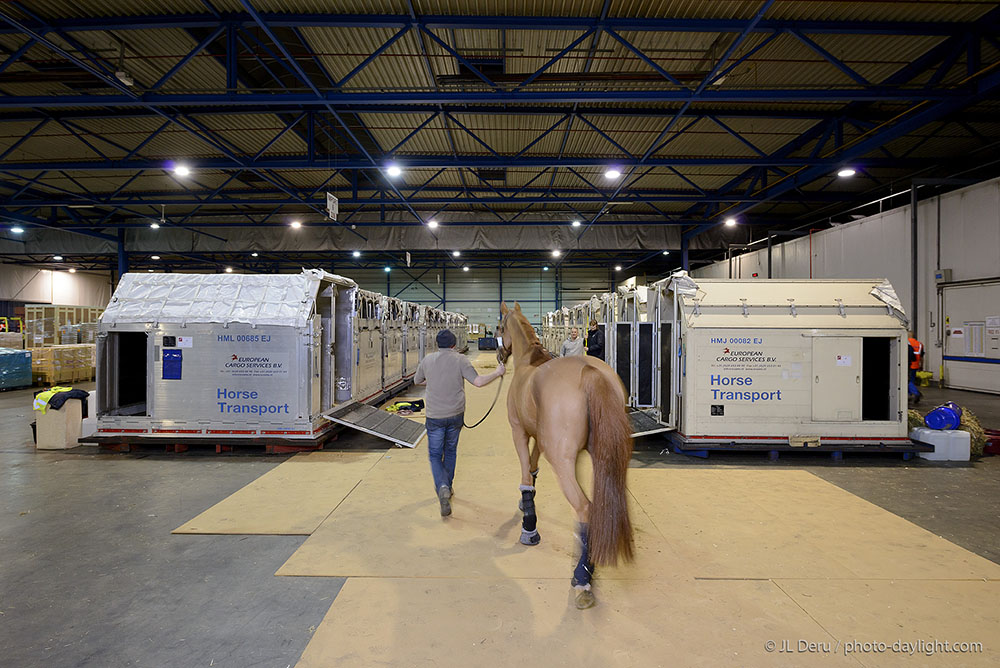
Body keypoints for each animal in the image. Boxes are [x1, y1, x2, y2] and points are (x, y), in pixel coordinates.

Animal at [498, 304, 632, 612]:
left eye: (499, 327)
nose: (499, 354)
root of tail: (590, 372)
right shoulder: (539, 438)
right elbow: (533, 469)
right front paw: (526, 507)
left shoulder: (518, 432)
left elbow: (525, 473)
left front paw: (529, 528)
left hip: (562, 462)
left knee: (584, 508)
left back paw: (582, 578)